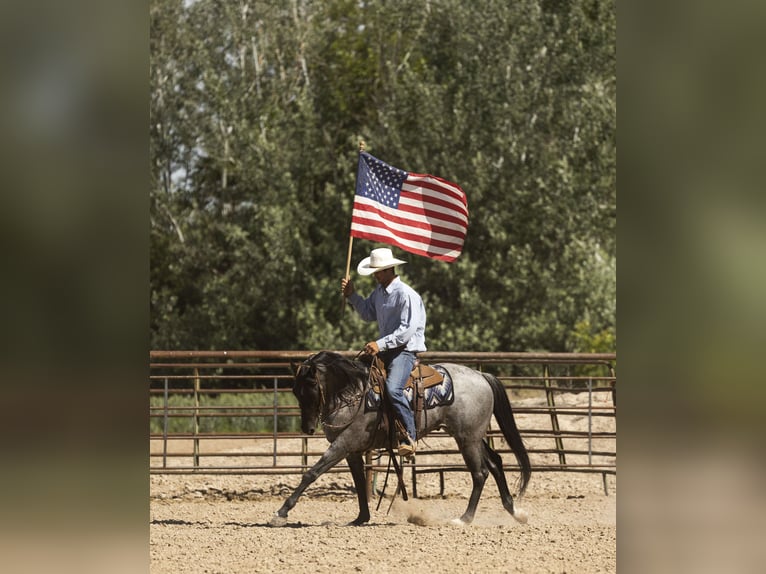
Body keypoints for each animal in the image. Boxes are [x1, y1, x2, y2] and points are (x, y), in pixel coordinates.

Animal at [272, 352, 536, 528]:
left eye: (311, 388)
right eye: (295, 391)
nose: (307, 428)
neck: (354, 393)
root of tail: (481, 375)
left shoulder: (344, 443)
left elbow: (312, 472)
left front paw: (281, 512)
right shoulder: (352, 450)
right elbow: (359, 482)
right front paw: (361, 518)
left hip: (467, 439)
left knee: (480, 473)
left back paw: (464, 519)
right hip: (472, 436)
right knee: (495, 463)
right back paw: (515, 512)